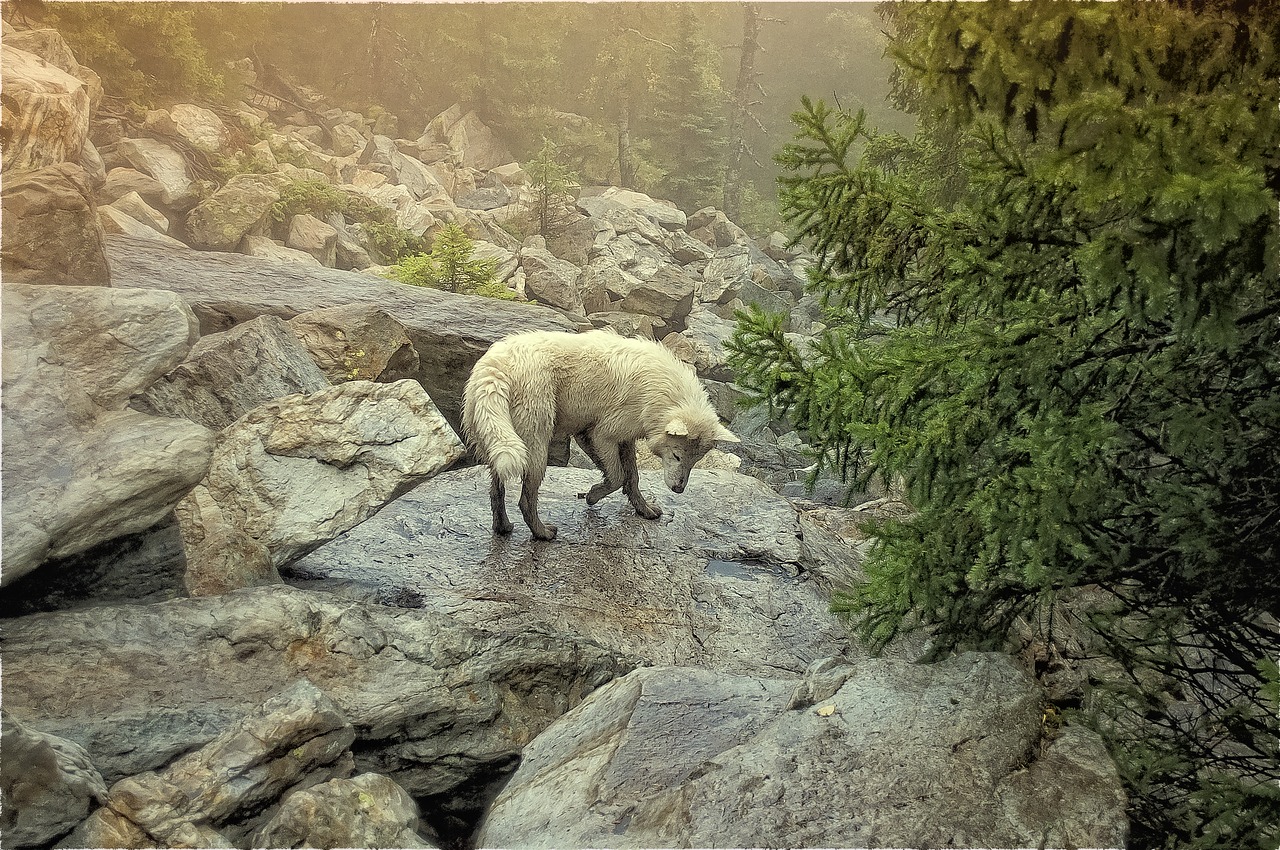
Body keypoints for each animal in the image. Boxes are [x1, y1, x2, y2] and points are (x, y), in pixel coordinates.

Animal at [463, 330, 742, 537]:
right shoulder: (601, 435)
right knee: (526, 499)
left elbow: (632, 478)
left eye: (694, 462)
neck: (660, 391)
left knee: (496, 490)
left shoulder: (617, 437)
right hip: (535, 444)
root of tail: (494, 370)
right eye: (676, 456)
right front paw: (593, 496)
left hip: (501, 443)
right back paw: (542, 532)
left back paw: (503, 527)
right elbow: (617, 476)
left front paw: (643, 509)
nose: (678, 490)